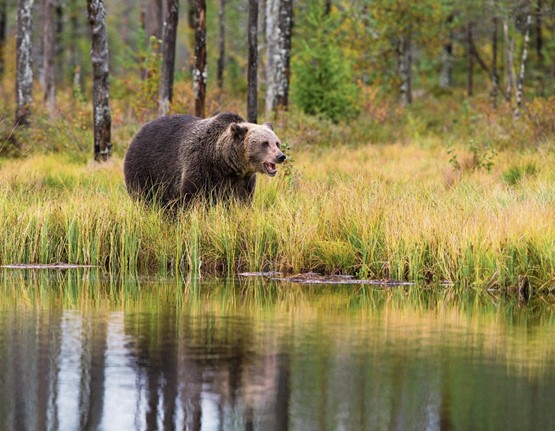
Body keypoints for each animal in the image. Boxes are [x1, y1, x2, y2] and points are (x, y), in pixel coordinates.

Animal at [123, 112, 284, 208]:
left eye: (277, 143)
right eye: (265, 143)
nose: (281, 156)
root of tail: (139, 131)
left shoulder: (243, 181)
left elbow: (242, 201)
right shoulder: (201, 166)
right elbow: (191, 196)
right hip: (145, 168)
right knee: (144, 196)